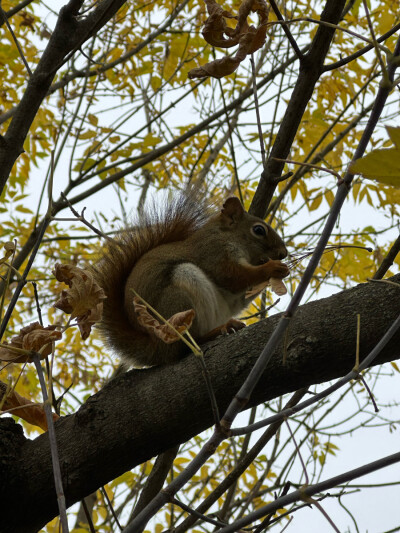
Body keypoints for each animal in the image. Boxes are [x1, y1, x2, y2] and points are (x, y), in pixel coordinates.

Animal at [92, 192, 290, 366]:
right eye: (259, 230)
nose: (284, 253)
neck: (226, 235)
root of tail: (158, 350)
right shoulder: (213, 253)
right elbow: (233, 276)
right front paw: (272, 267)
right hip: (178, 304)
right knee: (188, 345)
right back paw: (217, 332)